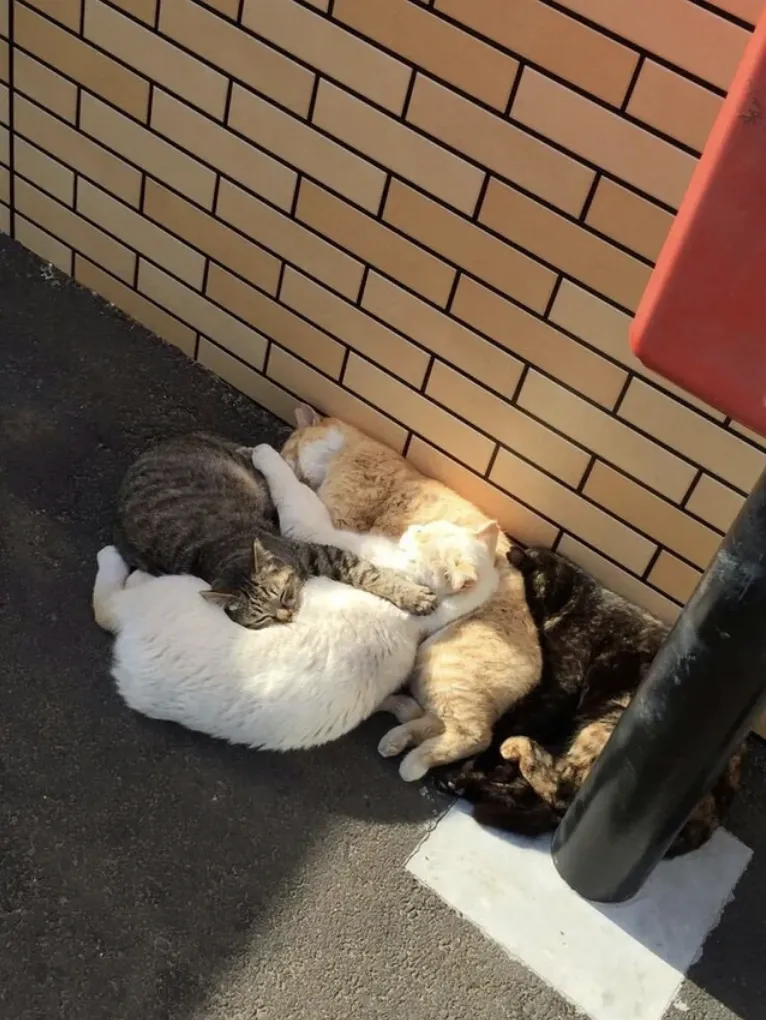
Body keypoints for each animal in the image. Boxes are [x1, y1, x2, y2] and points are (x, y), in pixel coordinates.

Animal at [113, 431, 437, 629]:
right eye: (261, 619)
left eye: (284, 595)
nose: (286, 615)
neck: (220, 550)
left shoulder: (314, 551)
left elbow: (367, 572)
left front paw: (413, 596)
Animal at [280, 405, 542, 781]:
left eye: (289, 447)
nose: (287, 460)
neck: (350, 448)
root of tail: (535, 679)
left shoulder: (339, 515)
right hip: (428, 671)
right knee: (437, 720)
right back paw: (396, 733)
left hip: (444, 666)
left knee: (474, 735)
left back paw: (413, 762)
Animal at [435, 545, 744, 858]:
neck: (577, 598)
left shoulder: (559, 686)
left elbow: (514, 722)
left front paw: (478, 761)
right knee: (543, 798)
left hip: (609, 727)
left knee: (561, 789)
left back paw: (499, 759)